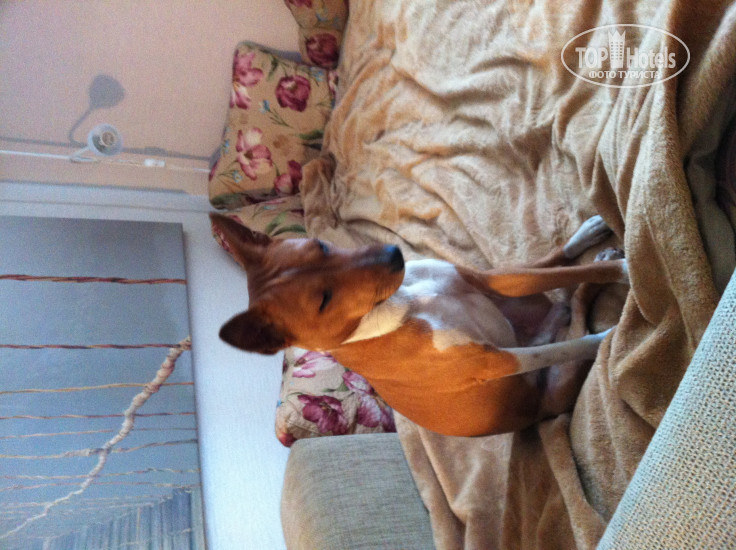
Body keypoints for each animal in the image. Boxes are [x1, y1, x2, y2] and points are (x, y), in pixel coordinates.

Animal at [211, 213, 628, 437]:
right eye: (323, 299)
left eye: (322, 246)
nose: (395, 254)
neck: (403, 303)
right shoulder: (493, 361)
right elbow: (569, 343)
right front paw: (622, 293)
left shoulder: (486, 280)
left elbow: (568, 270)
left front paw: (613, 263)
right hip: (557, 382)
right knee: (574, 318)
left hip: (502, 282)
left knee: (562, 280)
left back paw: (589, 240)